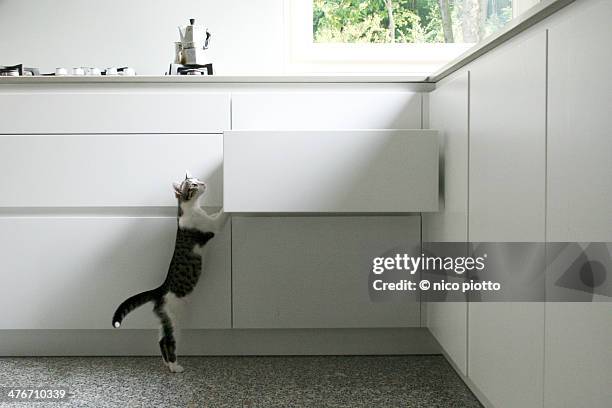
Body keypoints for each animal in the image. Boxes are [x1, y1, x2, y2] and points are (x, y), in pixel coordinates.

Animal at [111, 173, 226, 372]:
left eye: (198, 179)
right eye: (193, 185)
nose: (203, 183)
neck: (190, 209)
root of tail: (160, 290)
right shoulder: (210, 226)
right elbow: (220, 217)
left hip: (164, 321)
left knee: (160, 339)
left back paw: (166, 363)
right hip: (173, 320)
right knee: (168, 341)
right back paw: (174, 366)